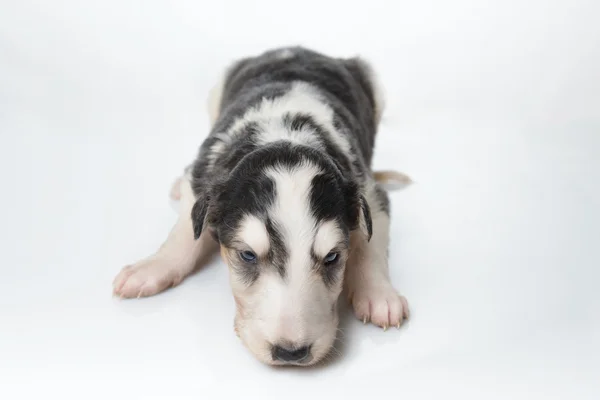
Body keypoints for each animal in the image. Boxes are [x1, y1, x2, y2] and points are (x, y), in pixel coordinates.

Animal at [112, 46, 410, 366]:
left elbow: (370, 245)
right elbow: (183, 235)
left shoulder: (368, 191)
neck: (285, 133)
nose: (291, 353)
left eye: (332, 257)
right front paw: (151, 268)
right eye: (247, 255)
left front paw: (380, 296)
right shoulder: (205, 173)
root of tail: (296, 48)